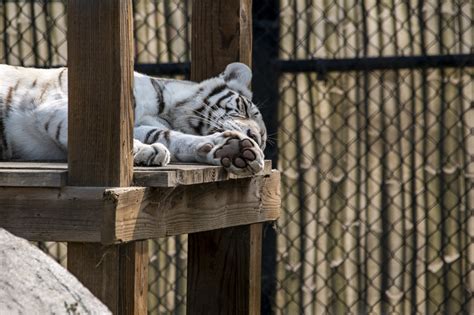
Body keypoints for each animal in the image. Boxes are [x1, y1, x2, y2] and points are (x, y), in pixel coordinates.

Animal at [0, 63, 266, 177]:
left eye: (262, 139)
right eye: (243, 109)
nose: (253, 135)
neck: (167, 112)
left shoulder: (147, 126)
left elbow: (166, 136)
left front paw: (232, 149)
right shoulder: (58, 107)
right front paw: (143, 151)